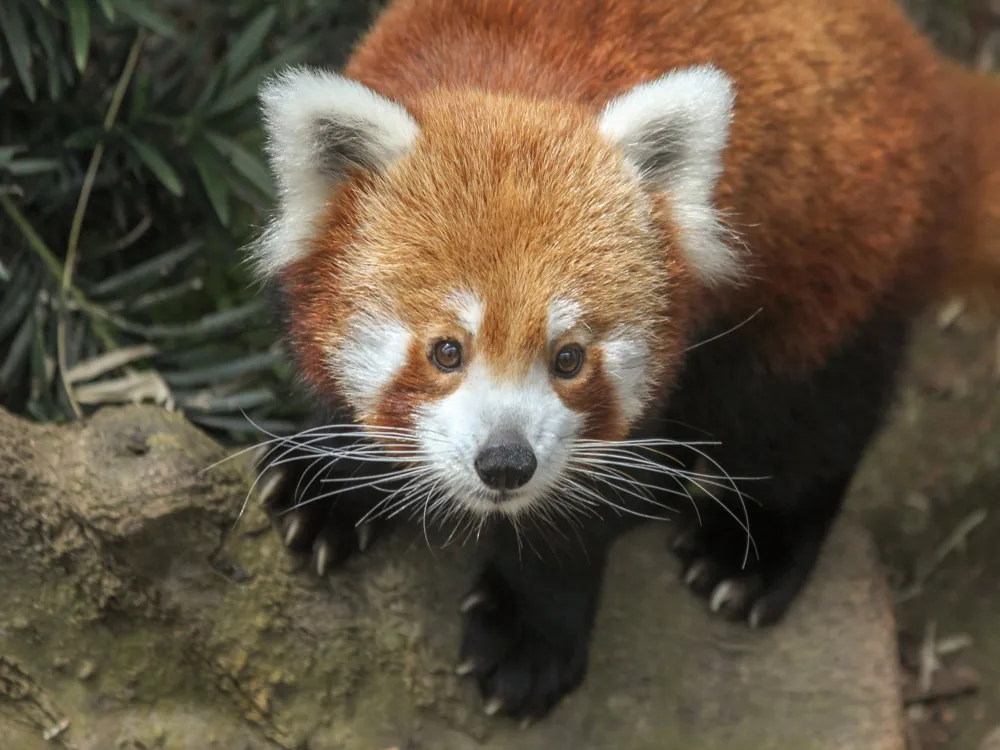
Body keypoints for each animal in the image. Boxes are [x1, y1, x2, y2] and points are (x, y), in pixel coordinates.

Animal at [248, 0, 1000, 724]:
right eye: (447, 351)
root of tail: (924, 72)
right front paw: (328, 483)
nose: (505, 463)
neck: (511, 72)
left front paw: (531, 632)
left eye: (569, 358)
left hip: (839, 257)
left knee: (812, 413)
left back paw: (752, 547)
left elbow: (584, 503)